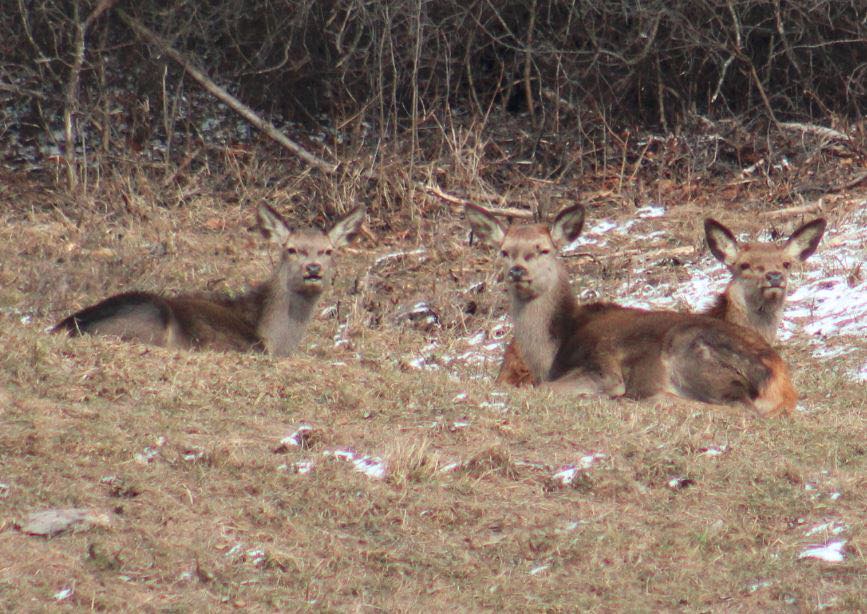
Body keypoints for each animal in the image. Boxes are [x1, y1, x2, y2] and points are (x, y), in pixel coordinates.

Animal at [53, 205, 366, 356]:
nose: (313, 269)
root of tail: (62, 327)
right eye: (291, 249)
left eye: (328, 251)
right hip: (149, 319)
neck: (274, 339)